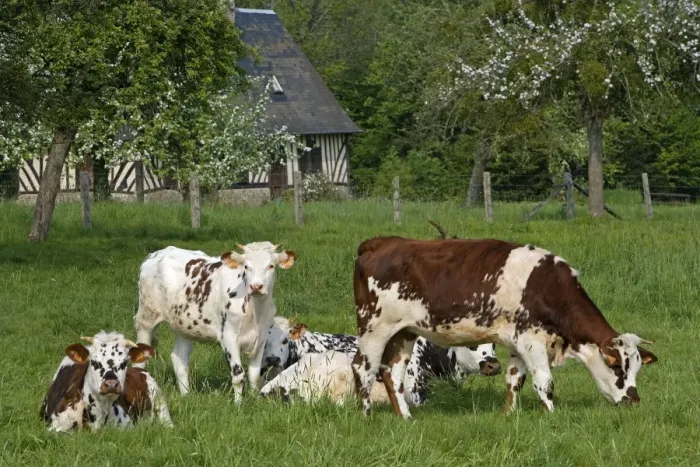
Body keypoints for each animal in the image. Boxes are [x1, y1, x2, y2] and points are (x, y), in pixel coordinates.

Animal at [133, 243, 295, 402]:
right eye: (246, 266)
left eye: (271, 266)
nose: (256, 286)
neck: (255, 312)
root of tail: (158, 253)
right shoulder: (228, 337)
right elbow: (238, 376)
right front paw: (238, 404)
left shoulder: (261, 338)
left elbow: (254, 376)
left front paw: (254, 400)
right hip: (146, 318)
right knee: (141, 357)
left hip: (183, 325)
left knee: (179, 359)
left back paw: (186, 395)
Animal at [351, 236, 658, 419]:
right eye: (618, 368)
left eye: (637, 369)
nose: (633, 401)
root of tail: (381, 243)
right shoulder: (533, 341)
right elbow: (544, 382)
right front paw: (552, 416)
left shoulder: (518, 343)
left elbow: (514, 381)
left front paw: (509, 416)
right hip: (374, 327)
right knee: (364, 368)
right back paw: (366, 415)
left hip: (404, 332)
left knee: (392, 374)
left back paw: (405, 417)